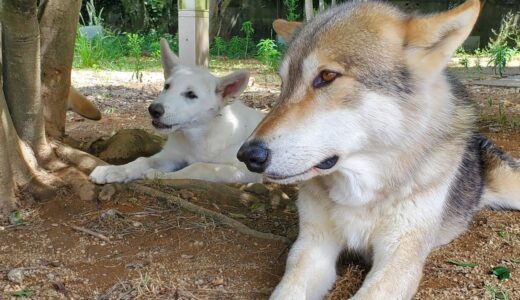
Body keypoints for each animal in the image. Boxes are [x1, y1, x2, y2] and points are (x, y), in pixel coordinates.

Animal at [89, 37, 264, 183]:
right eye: (167, 86)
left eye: (191, 95)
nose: (153, 110)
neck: (199, 137)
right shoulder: (171, 155)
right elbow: (143, 160)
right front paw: (115, 170)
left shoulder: (244, 171)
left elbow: (199, 167)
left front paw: (159, 175)